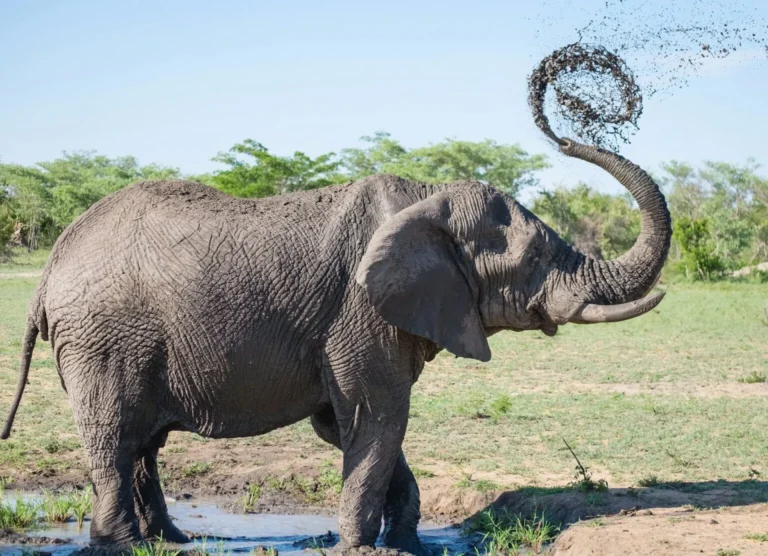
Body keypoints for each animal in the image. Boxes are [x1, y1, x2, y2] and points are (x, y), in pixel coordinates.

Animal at [1, 137, 669, 553]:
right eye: (533, 259)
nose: (562, 134)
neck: (426, 197)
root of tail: (50, 267)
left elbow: (349, 425)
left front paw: (405, 543)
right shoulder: (359, 311)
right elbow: (379, 415)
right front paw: (363, 548)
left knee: (142, 443)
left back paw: (169, 541)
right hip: (101, 339)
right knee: (115, 436)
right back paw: (122, 546)